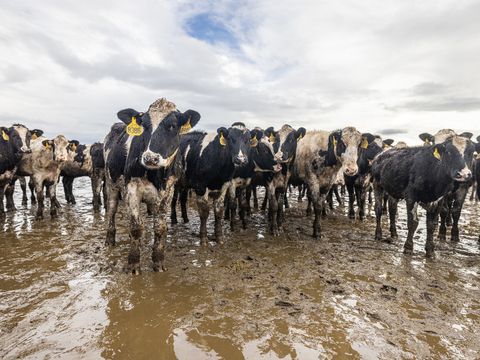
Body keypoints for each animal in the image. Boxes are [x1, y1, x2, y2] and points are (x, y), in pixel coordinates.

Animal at [104, 97, 202, 272]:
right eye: (144, 125)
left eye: (173, 125)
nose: (150, 158)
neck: (157, 175)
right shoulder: (132, 188)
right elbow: (136, 227)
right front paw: (133, 264)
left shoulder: (168, 191)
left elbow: (160, 228)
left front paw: (158, 261)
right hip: (111, 183)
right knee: (112, 210)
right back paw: (110, 239)